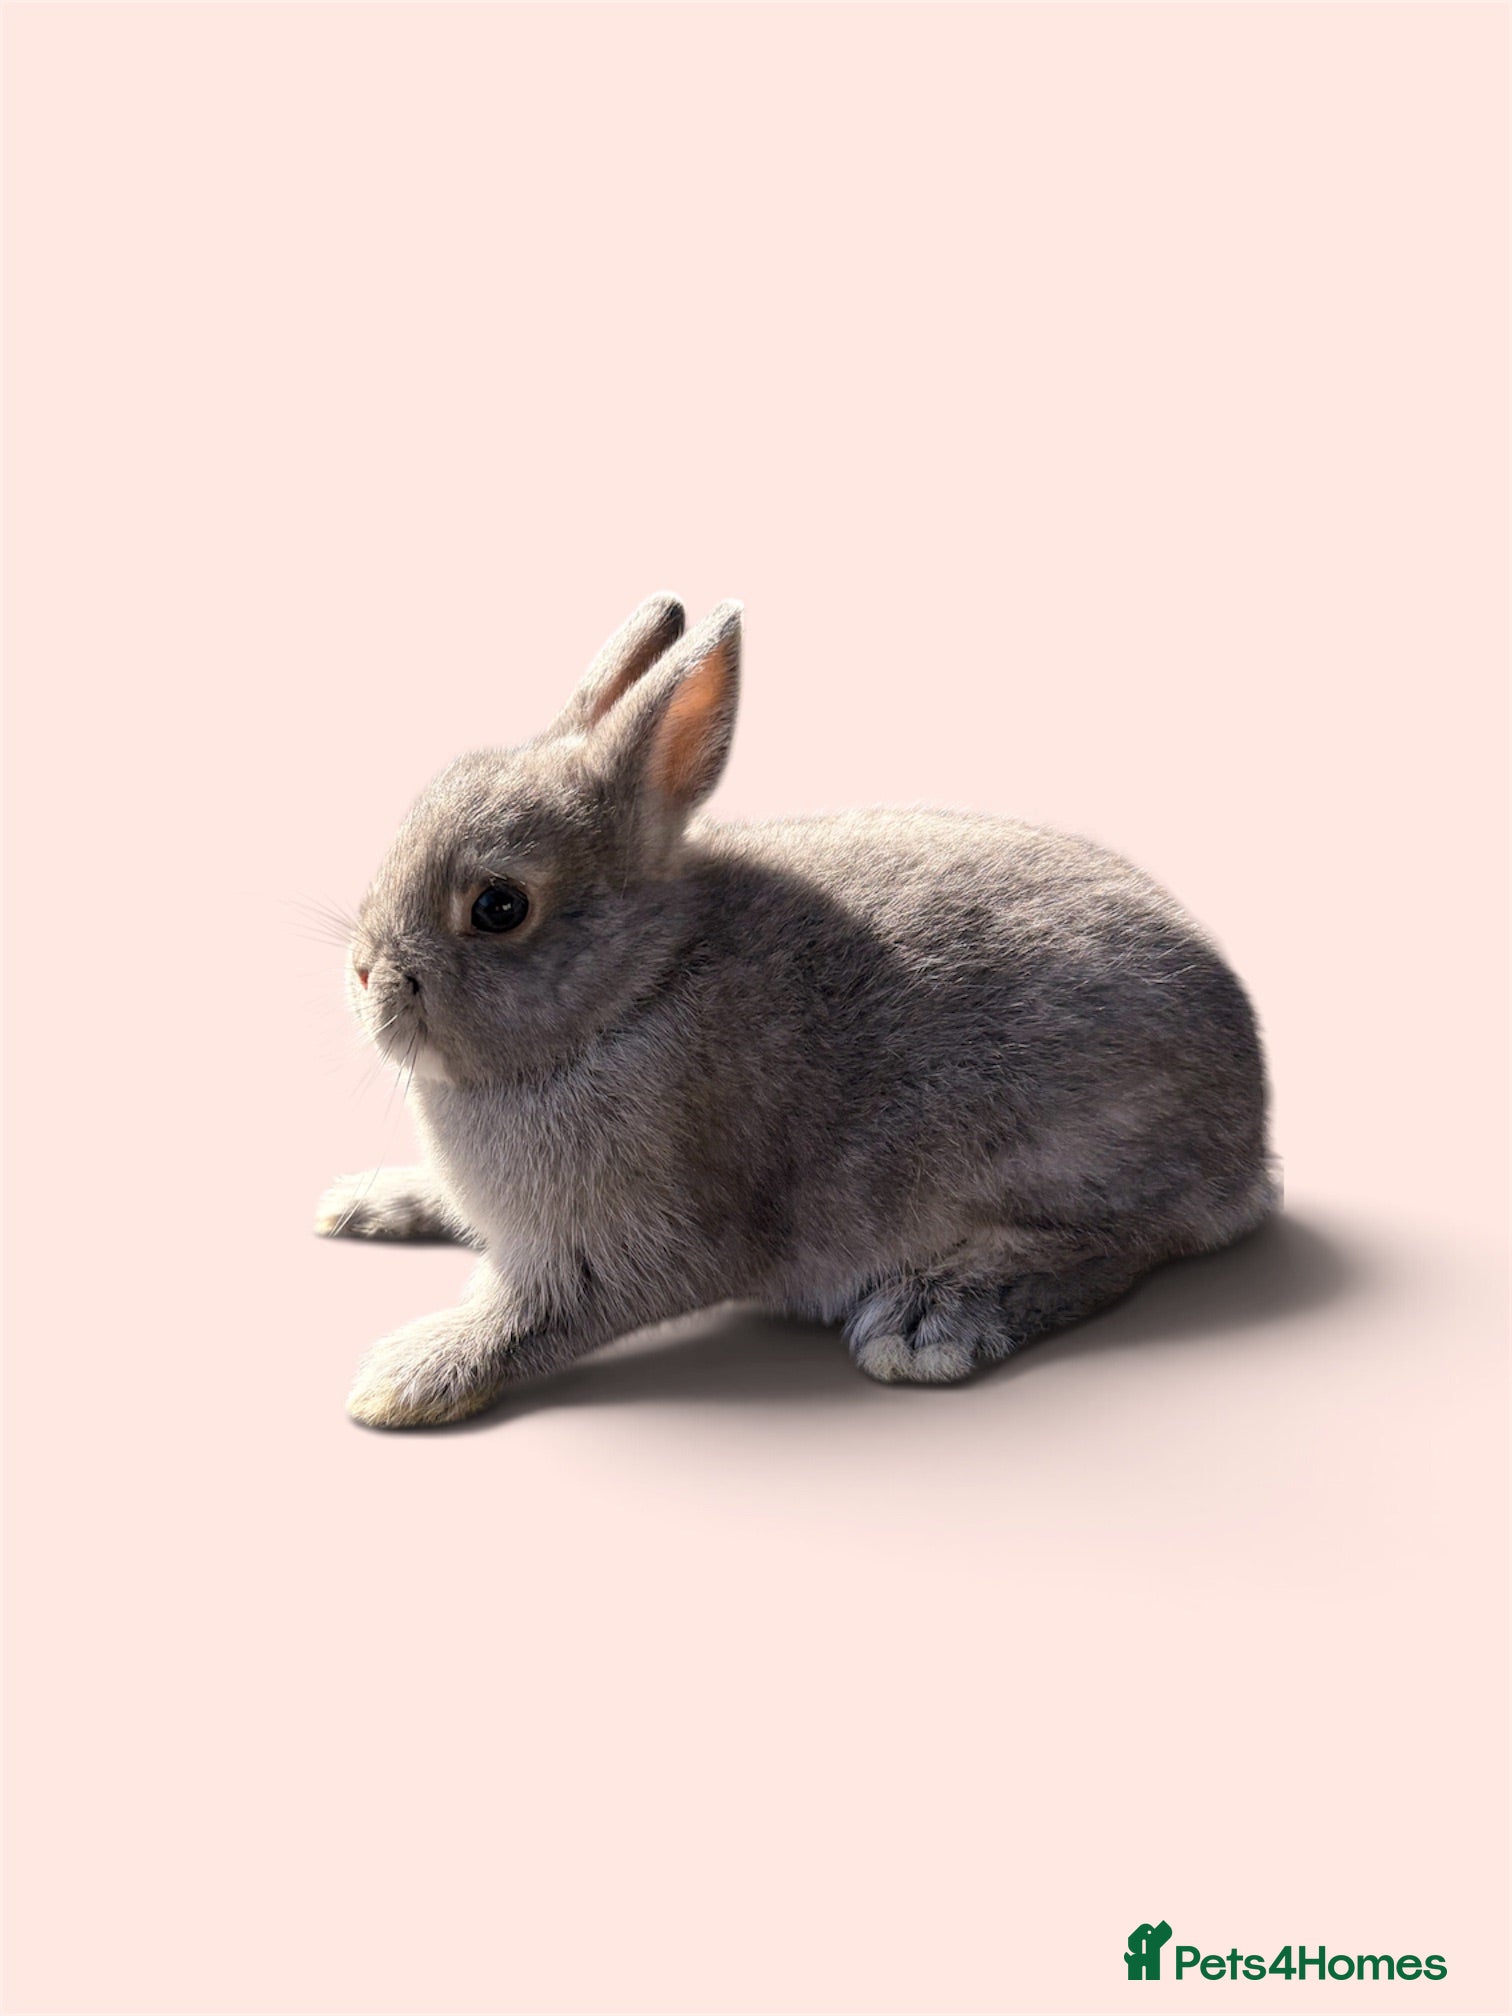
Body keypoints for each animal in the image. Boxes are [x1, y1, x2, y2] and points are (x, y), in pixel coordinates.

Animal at [317, 593, 1276, 1428]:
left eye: (499, 906)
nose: (366, 975)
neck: (635, 989)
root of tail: (1252, 1134)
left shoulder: (633, 1237)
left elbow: (538, 1315)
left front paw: (403, 1380)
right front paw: (362, 1203)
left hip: (1059, 1144)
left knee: (1125, 1243)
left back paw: (931, 1316)